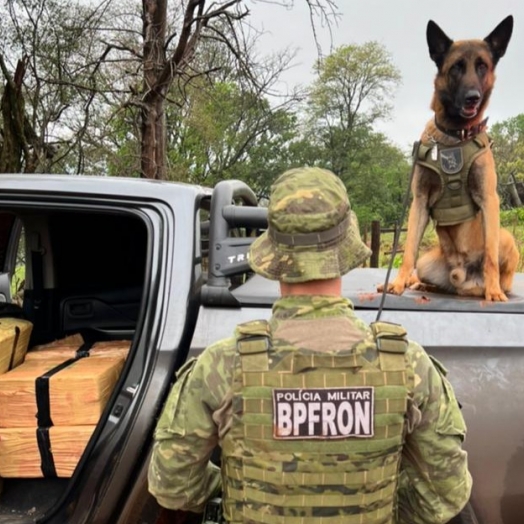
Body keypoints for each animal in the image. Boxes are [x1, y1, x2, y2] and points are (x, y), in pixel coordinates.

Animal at [378, 15, 516, 302]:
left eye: (482, 66)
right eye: (456, 67)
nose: (473, 97)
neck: (455, 134)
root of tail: (464, 278)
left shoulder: (490, 199)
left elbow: (490, 256)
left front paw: (494, 291)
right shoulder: (419, 201)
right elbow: (408, 249)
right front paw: (397, 283)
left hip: (507, 237)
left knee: (500, 270)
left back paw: (494, 287)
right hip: (427, 263)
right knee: (430, 276)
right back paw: (420, 285)